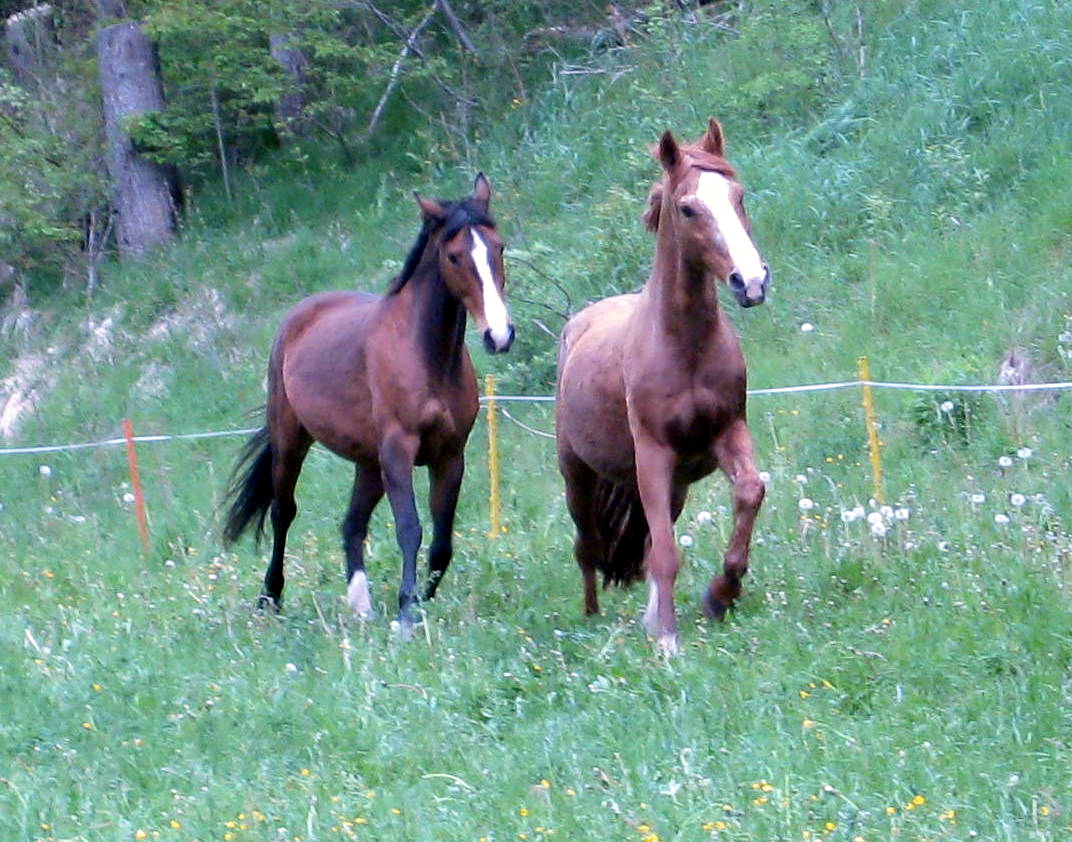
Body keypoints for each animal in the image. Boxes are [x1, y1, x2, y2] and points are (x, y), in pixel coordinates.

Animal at [219, 173, 512, 634]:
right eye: (454, 256)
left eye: (498, 247)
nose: (499, 335)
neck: (425, 355)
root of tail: (300, 315)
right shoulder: (399, 451)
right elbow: (410, 529)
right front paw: (407, 615)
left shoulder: (450, 457)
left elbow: (442, 542)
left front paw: (418, 604)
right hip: (292, 443)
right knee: (284, 513)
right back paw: (270, 598)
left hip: (368, 464)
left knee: (352, 524)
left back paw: (361, 605)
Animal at [553, 121, 771, 652]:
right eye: (689, 207)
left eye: (738, 195)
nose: (751, 281)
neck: (684, 348)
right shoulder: (653, 453)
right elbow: (665, 554)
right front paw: (668, 640)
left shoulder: (726, 433)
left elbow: (749, 492)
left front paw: (720, 595)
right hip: (578, 475)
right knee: (588, 545)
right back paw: (592, 617)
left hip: (674, 485)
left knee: (651, 538)